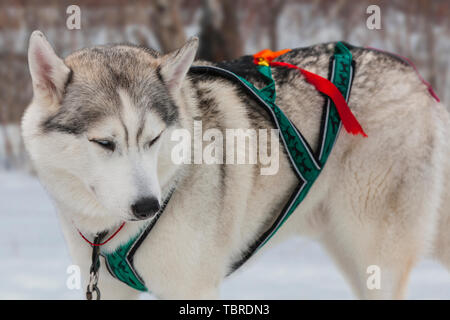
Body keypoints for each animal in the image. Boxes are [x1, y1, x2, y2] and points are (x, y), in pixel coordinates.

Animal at [22, 31, 450, 298]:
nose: (147, 206)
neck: (108, 233)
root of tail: (414, 77)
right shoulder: (107, 288)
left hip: (376, 255)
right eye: (104, 143)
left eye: (153, 139)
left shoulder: (194, 288)